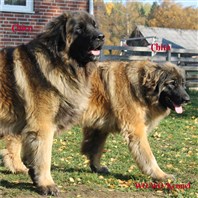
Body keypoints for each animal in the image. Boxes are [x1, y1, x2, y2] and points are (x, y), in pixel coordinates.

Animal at [0, 10, 105, 195]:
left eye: (94, 25)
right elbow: (44, 157)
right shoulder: (43, 126)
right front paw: (47, 184)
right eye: (79, 29)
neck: (59, 62)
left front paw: (35, 178)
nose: (101, 36)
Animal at [1, 61, 190, 188]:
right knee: (13, 142)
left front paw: (96, 167)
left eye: (182, 84)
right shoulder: (135, 130)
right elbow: (148, 156)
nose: (187, 99)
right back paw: (18, 166)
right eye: (172, 83)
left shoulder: (98, 127)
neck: (140, 86)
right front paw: (160, 175)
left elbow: (95, 149)